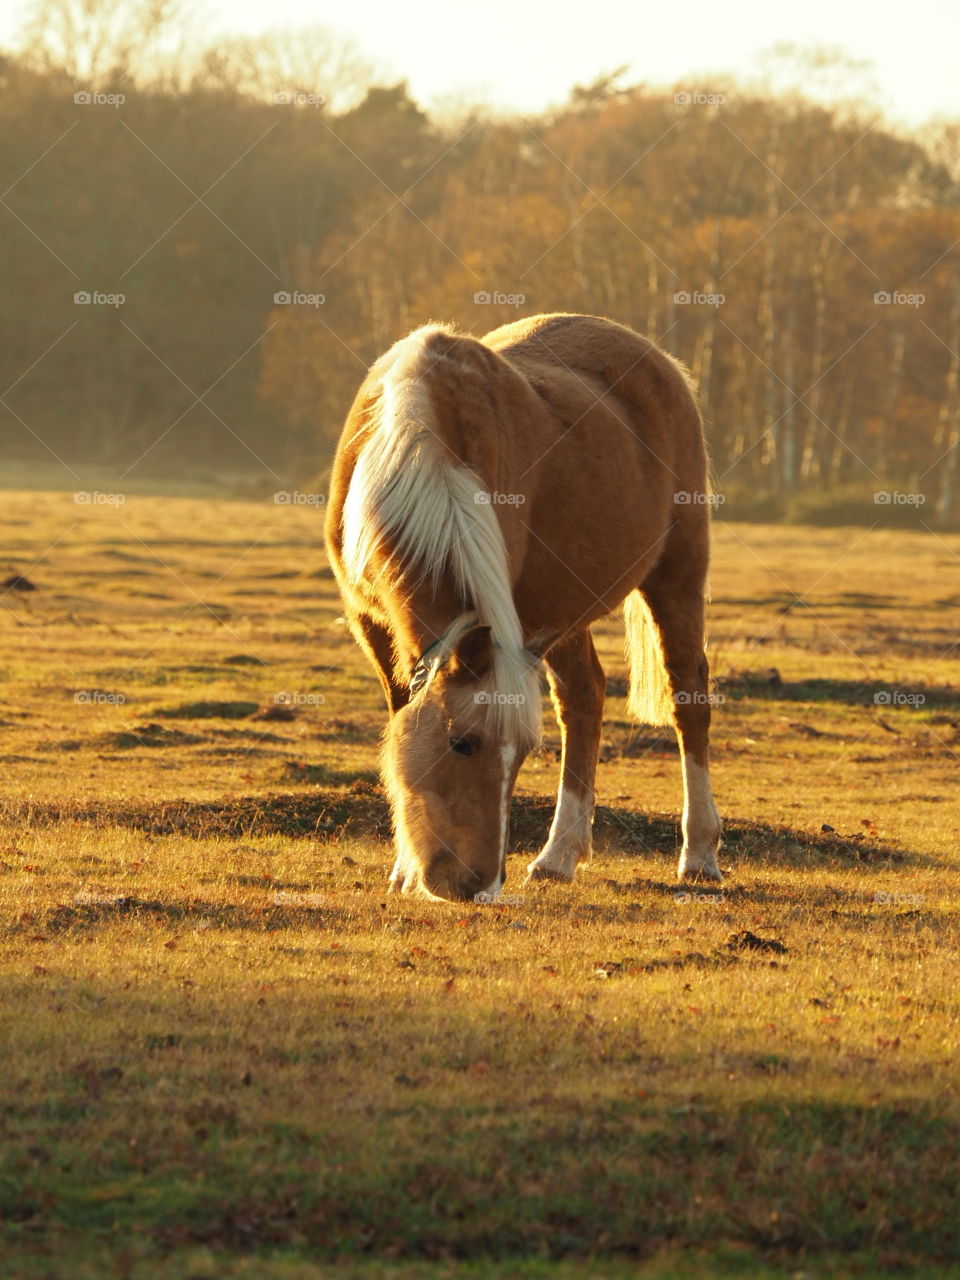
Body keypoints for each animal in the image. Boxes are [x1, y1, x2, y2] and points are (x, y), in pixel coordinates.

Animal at [325, 312, 722, 901]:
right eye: (462, 744)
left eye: (521, 758)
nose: (477, 885)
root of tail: (659, 361)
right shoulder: (370, 621)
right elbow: (401, 716)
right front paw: (403, 869)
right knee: (583, 695)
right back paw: (559, 857)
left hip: (677, 576)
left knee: (687, 697)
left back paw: (698, 855)